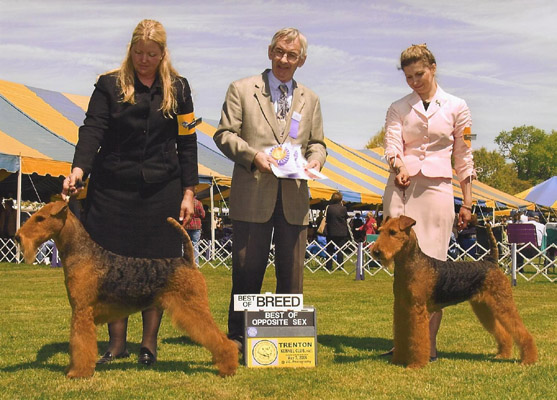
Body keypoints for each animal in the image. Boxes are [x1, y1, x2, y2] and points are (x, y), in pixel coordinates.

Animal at [15, 201, 238, 378]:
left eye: (40, 218)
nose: (17, 237)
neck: (82, 253)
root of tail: (187, 260)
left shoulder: (82, 312)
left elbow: (80, 345)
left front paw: (78, 373)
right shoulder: (80, 312)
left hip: (192, 307)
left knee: (220, 338)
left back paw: (227, 367)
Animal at [371, 215, 537, 368]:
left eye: (393, 232)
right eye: (380, 231)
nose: (376, 252)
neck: (410, 265)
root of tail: (491, 261)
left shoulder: (417, 309)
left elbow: (418, 338)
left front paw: (416, 364)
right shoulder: (401, 308)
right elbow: (401, 335)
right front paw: (397, 360)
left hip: (502, 303)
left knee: (521, 331)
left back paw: (528, 360)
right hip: (484, 308)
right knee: (503, 332)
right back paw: (503, 354)